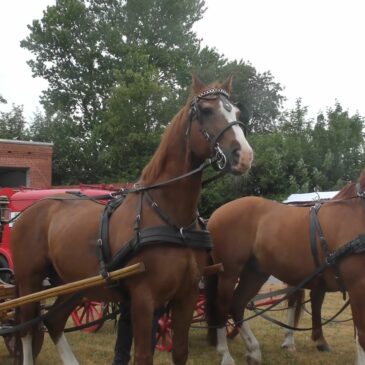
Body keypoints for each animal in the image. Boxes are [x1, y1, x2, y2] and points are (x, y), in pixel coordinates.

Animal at [9, 74, 252, 364]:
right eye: (205, 110)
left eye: (237, 112)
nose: (244, 155)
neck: (172, 220)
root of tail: (26, 213)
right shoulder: (144, 298)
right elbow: (143, 355)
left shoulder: (187, 295)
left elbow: (180, 351)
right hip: (30, 281)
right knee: (26, 328)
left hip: (71, 284)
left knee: (53, 321)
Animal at [206, 171, 364, 364]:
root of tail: (216, 213)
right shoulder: (357, 286)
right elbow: (361, 333)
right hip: (228, 273)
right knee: (221, 306)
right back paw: (225, 354)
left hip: (254, 274)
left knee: (237, 305)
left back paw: (253, 350)